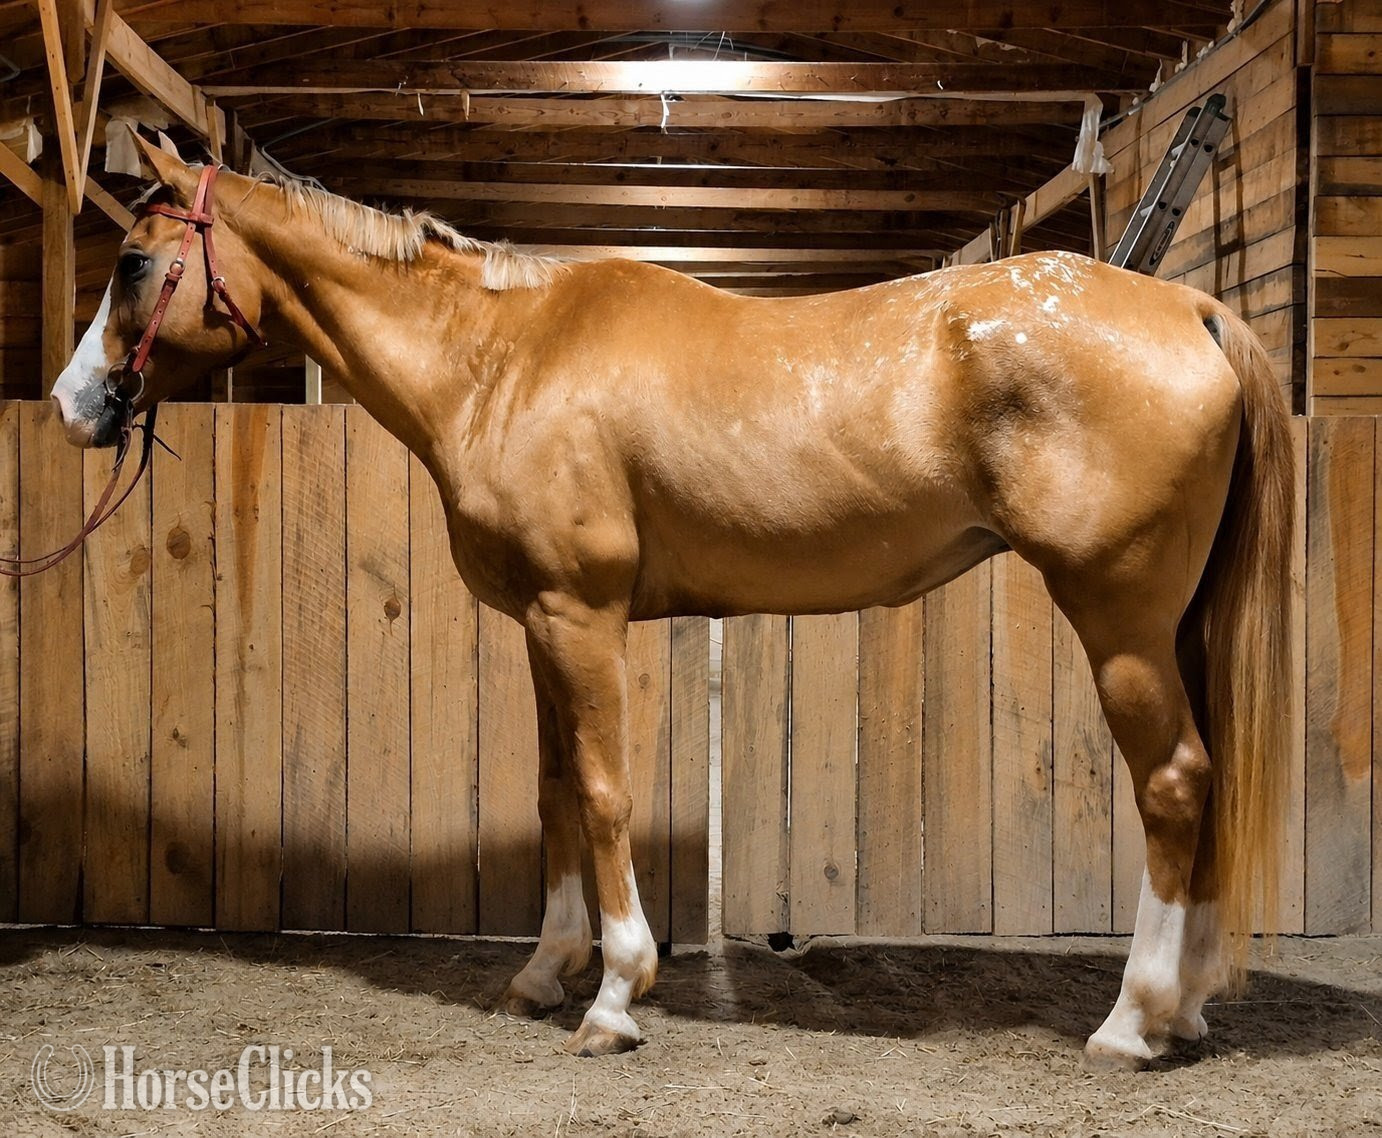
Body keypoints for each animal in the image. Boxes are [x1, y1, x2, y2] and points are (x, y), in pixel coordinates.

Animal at [50, 137, 1294, 1071]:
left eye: (133, 261)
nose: (73, 405)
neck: (503, 357)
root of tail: (1186, 306)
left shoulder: (579, 613)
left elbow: (602, 793)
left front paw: (615, 992)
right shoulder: (539, 624)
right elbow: (554, 791)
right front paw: (543, 972)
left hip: (1119, 620)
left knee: (1173, 782)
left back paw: (1130, 1020)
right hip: (1173, 625)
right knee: (1209, 778)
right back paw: (1185, 1007)